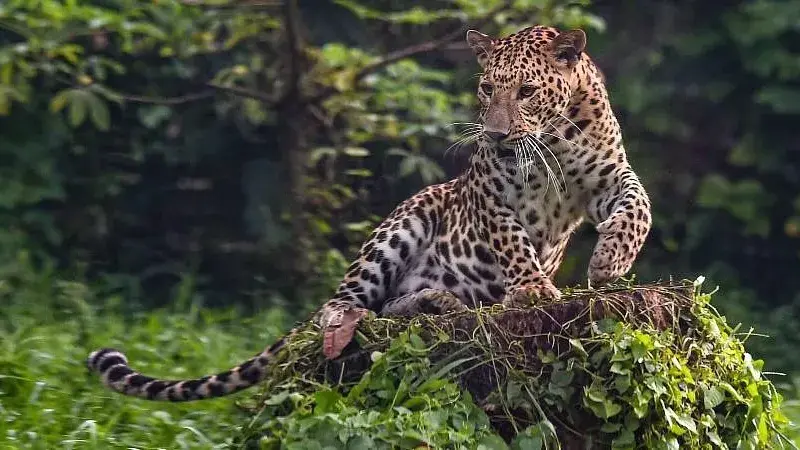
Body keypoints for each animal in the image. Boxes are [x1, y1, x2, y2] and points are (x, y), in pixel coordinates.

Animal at [87, 25, 651, 402]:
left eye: (527, 92)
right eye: (488, 88)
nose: (493, 135)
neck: (553, 139)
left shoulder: (609, 176)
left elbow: (638, 206)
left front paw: (609, 263)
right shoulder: (492, 195)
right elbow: (511, 240)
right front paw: (534, 289)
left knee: (392, 308)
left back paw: (438, 303)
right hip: (408, 218)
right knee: (342, 304)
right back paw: (356, 322)